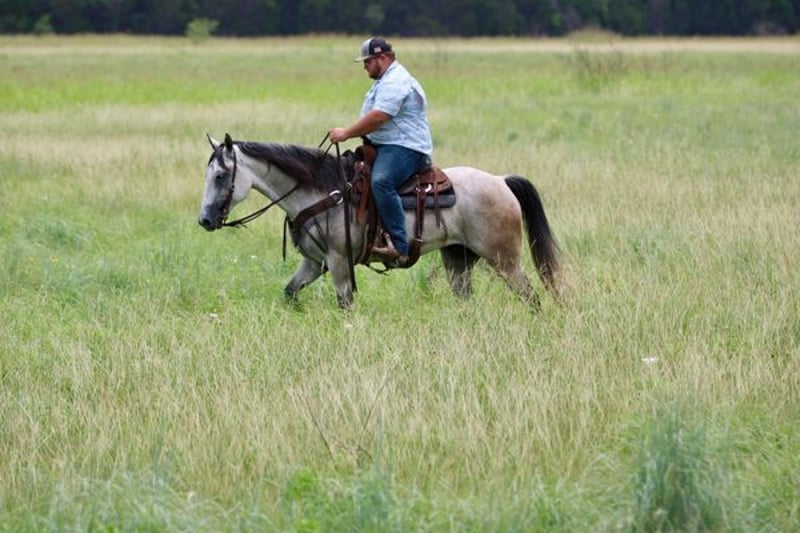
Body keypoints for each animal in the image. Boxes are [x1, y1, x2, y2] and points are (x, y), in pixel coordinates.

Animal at [198, 133, 561, 309]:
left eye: (220, 176)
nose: (204, 220)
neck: (322, 191)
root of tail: (501, 181)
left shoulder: (339, 260)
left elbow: (346, 304)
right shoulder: (314, 262)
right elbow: (290, 293)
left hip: (504, 259)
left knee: (531, 297)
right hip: (458, 259)